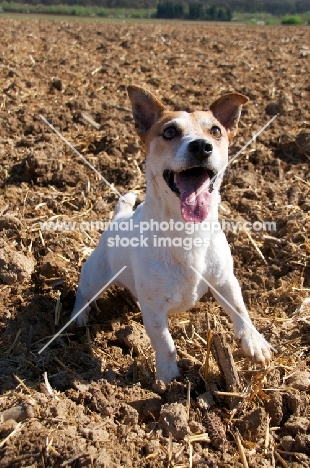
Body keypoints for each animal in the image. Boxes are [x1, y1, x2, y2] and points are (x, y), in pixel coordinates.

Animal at [71, 86, 272, 386]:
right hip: (96, 274)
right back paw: (78, 316)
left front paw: (254, 343)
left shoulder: (225, 280)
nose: (201, 146)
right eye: (169, 132)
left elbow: (240, 310)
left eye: (215, 131)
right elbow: (165, 344)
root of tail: (119, 217)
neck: (188, 231)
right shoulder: (153, 310)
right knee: (82, 292)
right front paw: (168, 379)